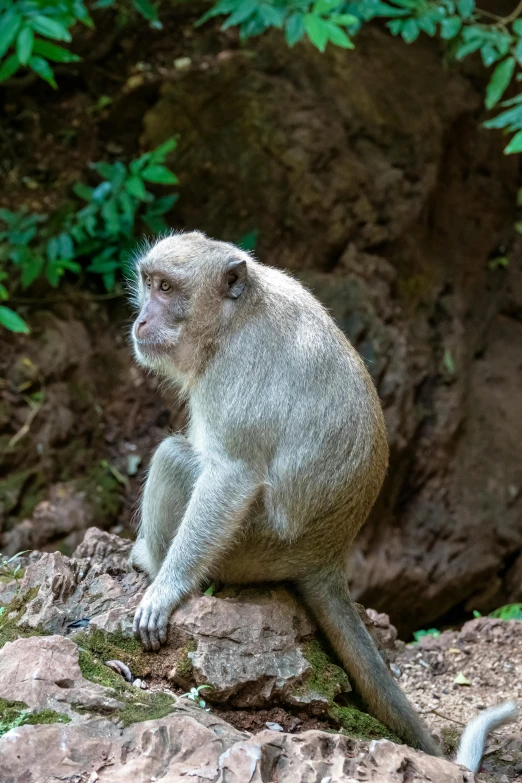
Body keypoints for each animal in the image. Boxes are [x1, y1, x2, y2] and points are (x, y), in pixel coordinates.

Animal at [127, 233, 516, 772]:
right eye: (148, 283)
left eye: (167, 288)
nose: (142, 320)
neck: (233, 318)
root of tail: (326, 555)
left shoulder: (237, 371)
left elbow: (230, 476)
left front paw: (167, 589)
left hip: (252, 550)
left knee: (172, 458)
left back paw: (152, 560)